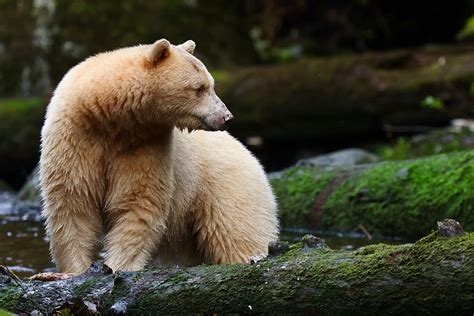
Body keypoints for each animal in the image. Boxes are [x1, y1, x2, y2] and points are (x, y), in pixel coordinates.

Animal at [40, 38, 280, 272]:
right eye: (199, 88)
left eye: (211, 85)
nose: (226, 117)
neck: (106, 114)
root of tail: (250, 156)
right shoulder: (76, 138)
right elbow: (73, 202)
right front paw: (76, 270)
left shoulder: (145, 145)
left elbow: (139, 203)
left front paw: (116, 267)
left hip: (228, 190)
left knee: (236, 234)